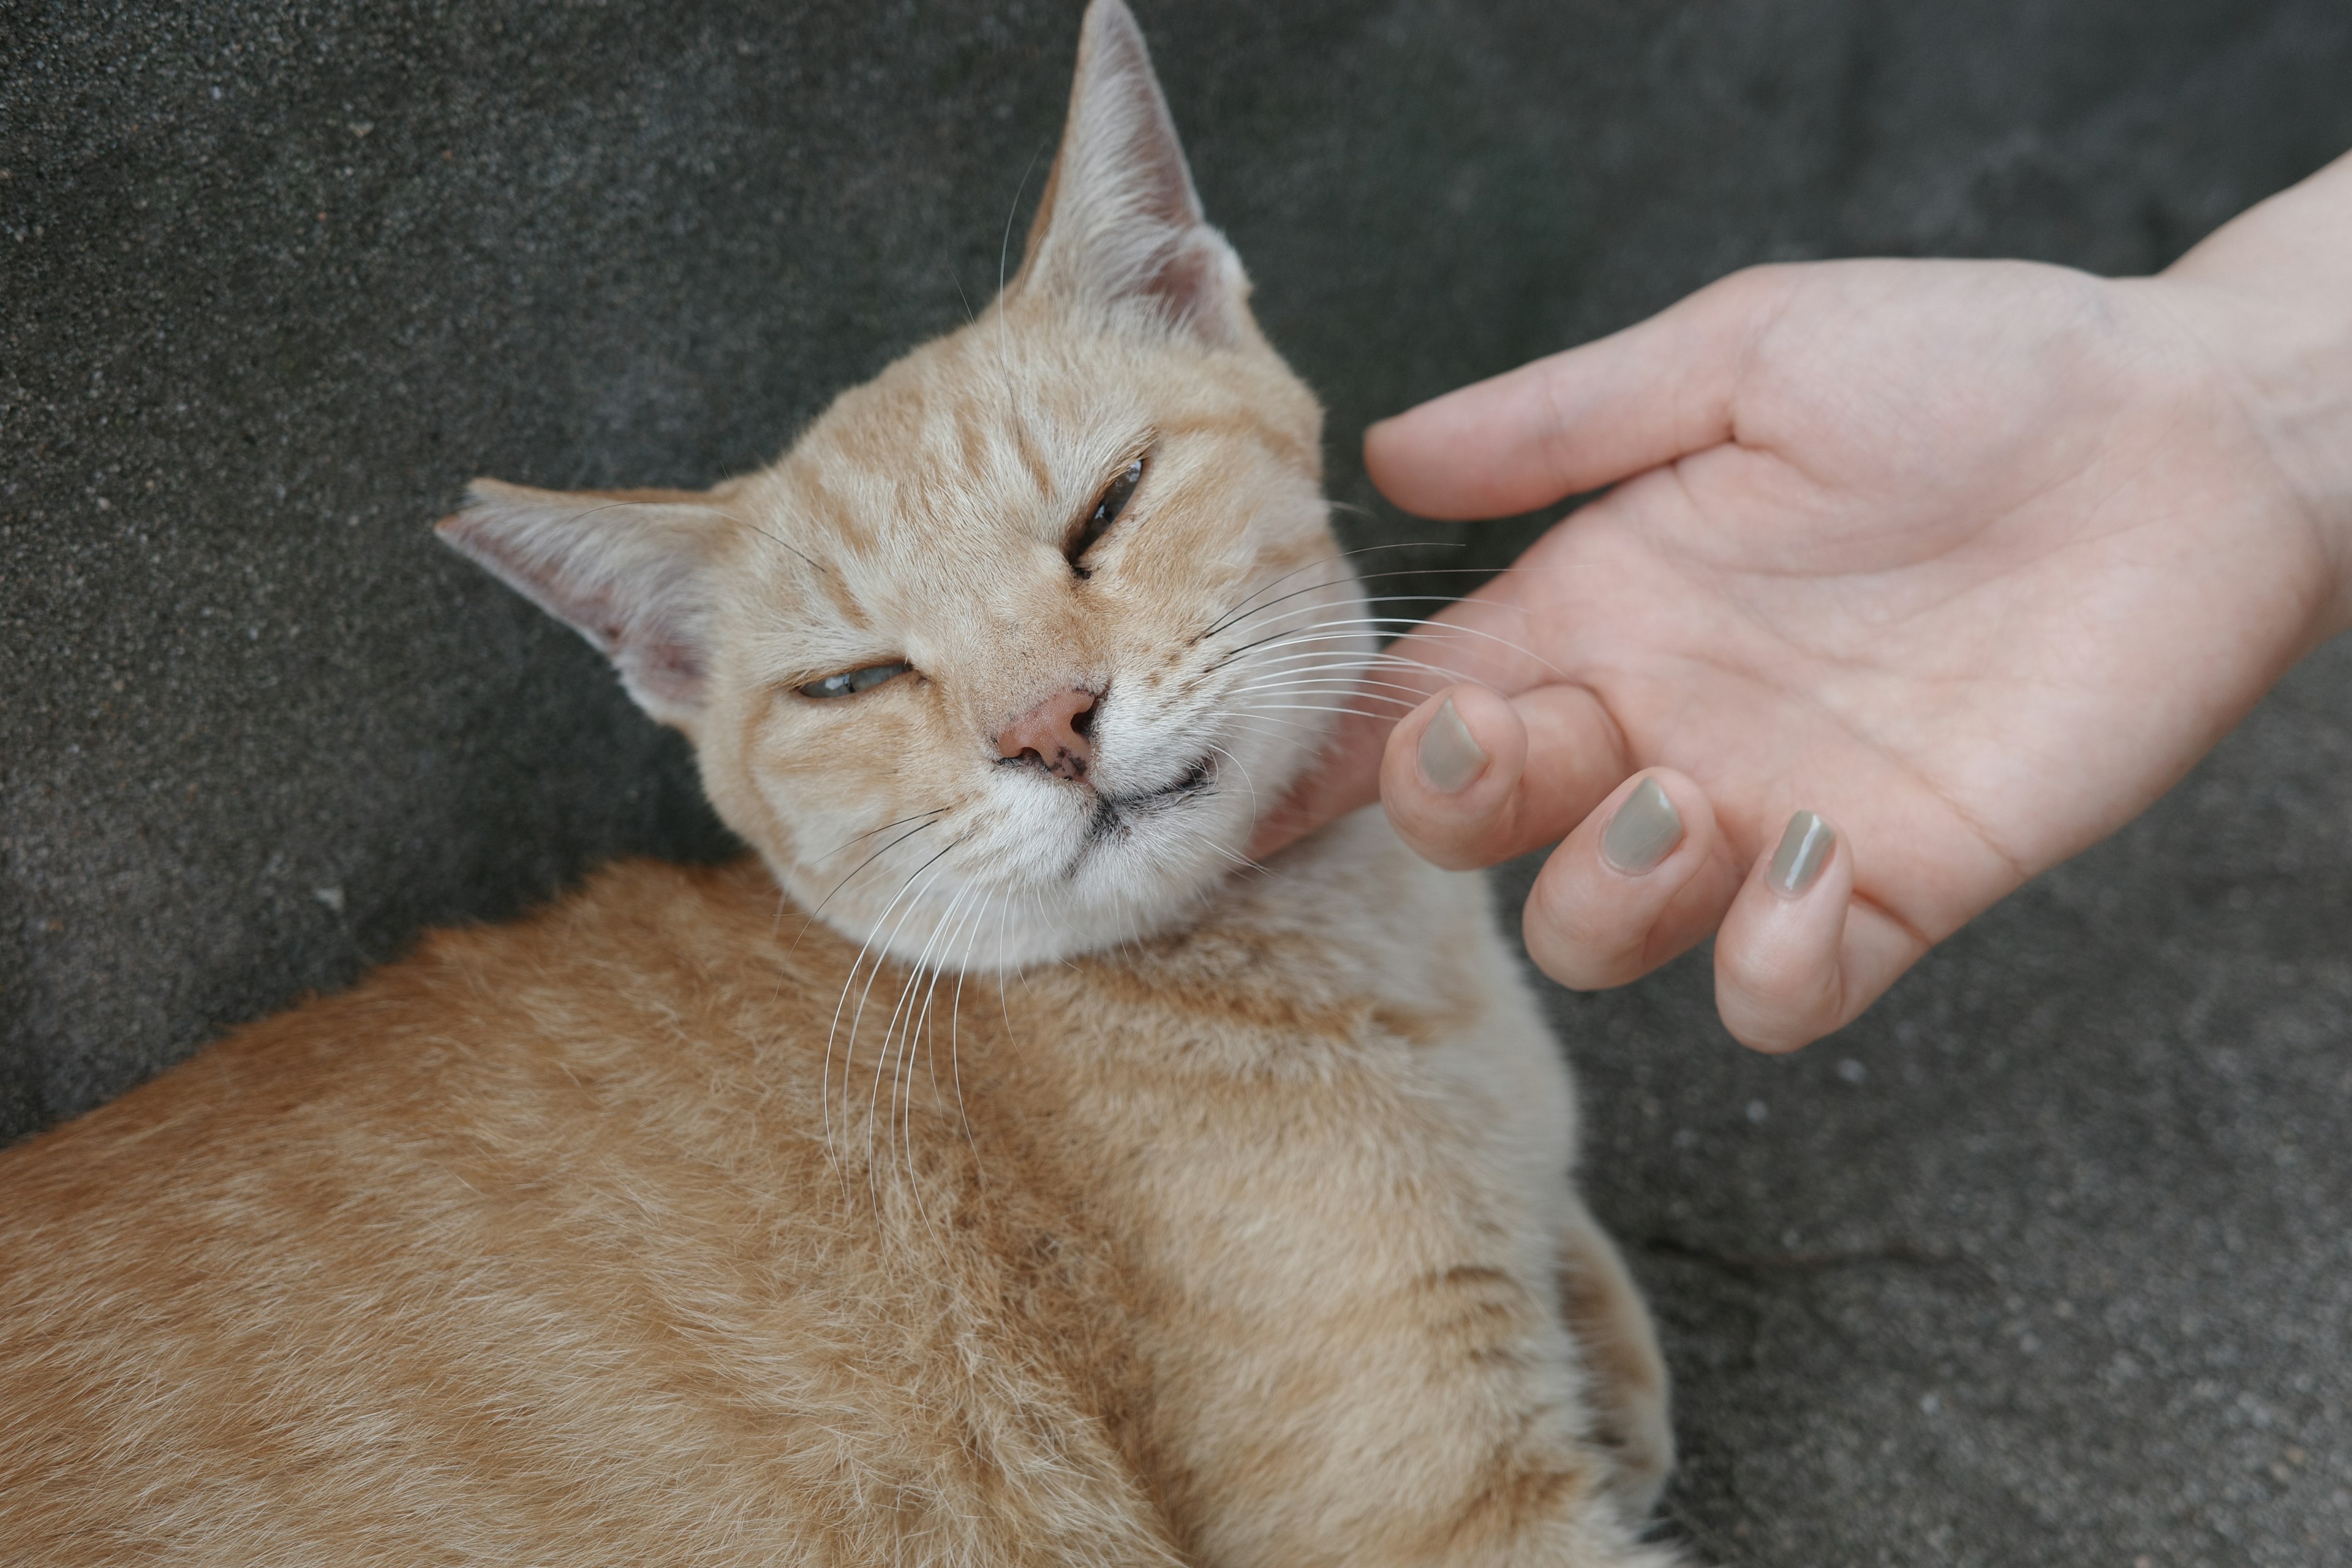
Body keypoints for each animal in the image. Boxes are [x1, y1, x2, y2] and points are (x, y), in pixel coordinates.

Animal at [9, 6, 1684, 1561]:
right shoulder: (1446, 1513)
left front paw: (1607, 1344)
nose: (1049, 722)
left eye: (1107, 507)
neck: (1383, 957)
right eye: (851, 682)